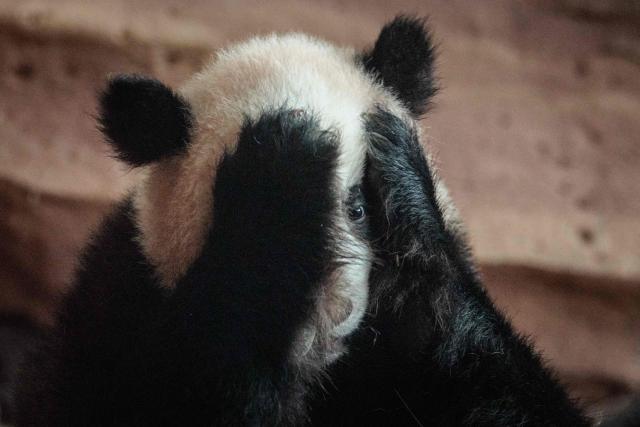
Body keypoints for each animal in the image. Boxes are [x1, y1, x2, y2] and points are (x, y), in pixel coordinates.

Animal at [15, 16, 589, 426]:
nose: (333, 317)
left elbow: (502, 386)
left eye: (359, 208)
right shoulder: (117, 312)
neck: (321, 372)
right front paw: (282, 163)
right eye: (252, 228)